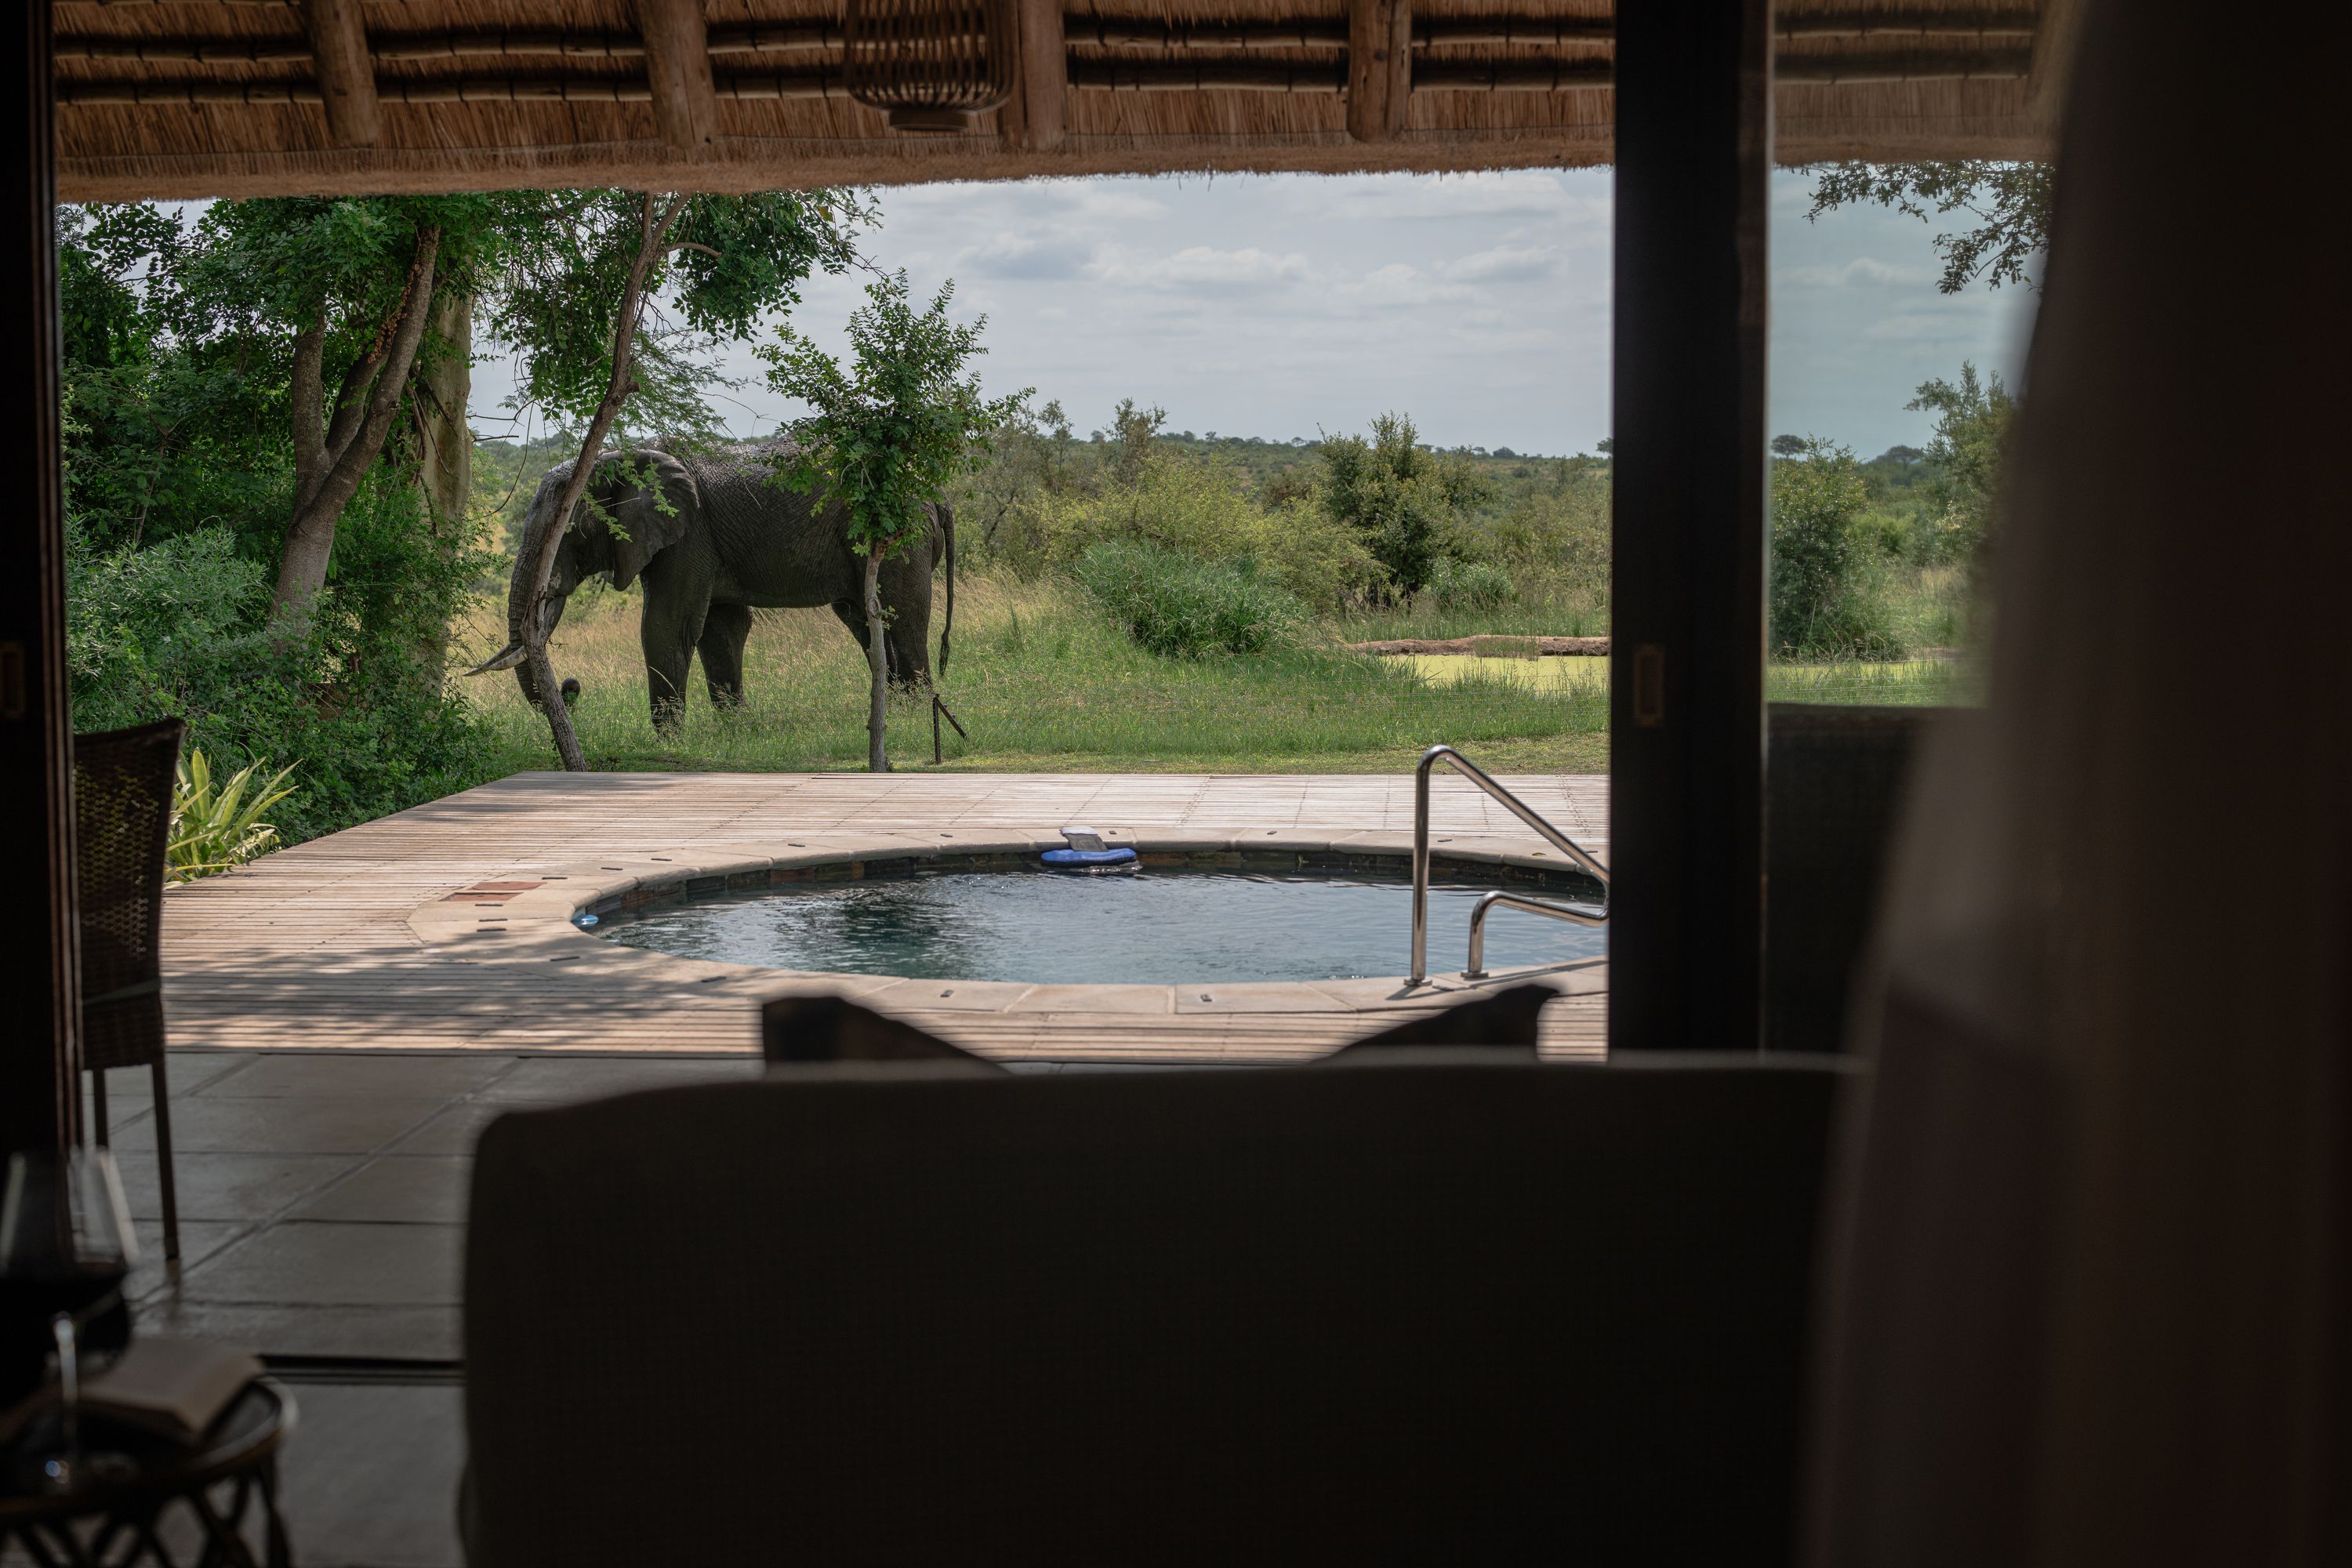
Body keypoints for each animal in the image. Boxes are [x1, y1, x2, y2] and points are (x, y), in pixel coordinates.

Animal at [470, 444, 954, 729]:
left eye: (570, 532)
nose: (571, 687)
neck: (622, 455)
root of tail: (937, 491)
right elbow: (720, 629)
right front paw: (736, 728)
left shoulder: (688, 535)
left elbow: (666, 625)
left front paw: (667, 739)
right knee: (865, 620)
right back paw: (895, 710)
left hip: (900, 532)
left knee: (903, 616)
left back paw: (914, 714)